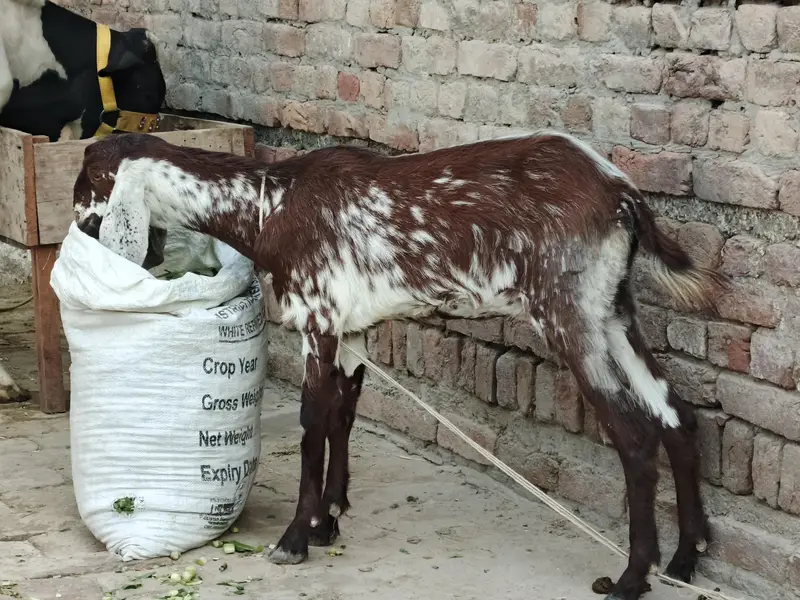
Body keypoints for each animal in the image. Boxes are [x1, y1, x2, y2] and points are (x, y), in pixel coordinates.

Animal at [72, 131, 728, 600]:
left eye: (86, 186)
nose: (79, 228)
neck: (267, 204)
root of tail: (622, 195)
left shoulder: (319, 317)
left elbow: (312, 424)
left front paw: (295, 538)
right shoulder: (354, 327)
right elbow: (343, 416)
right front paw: (329, 521)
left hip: (568, 314)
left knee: (636, 435)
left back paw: (631, 579)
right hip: (613, 312)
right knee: (677, 414)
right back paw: (686, 557)